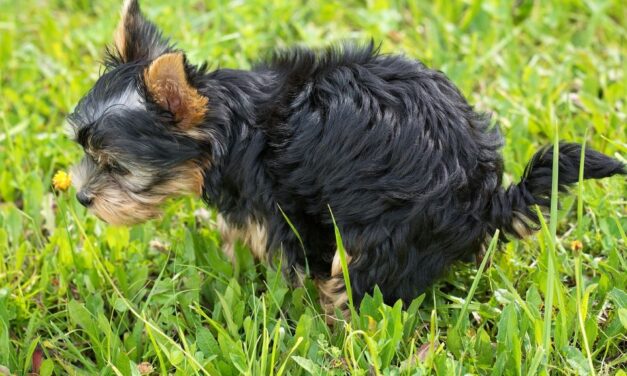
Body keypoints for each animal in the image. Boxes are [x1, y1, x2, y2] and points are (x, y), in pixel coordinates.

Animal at [70, 0, 627, 320]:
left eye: (116, 166)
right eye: (84, 151)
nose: (80, 197)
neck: (231, 125)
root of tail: (486, 197)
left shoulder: (284, 208)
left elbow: (290, 256)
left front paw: (286, 301)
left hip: (390, 231)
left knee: (365, 280)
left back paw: (338, 316)